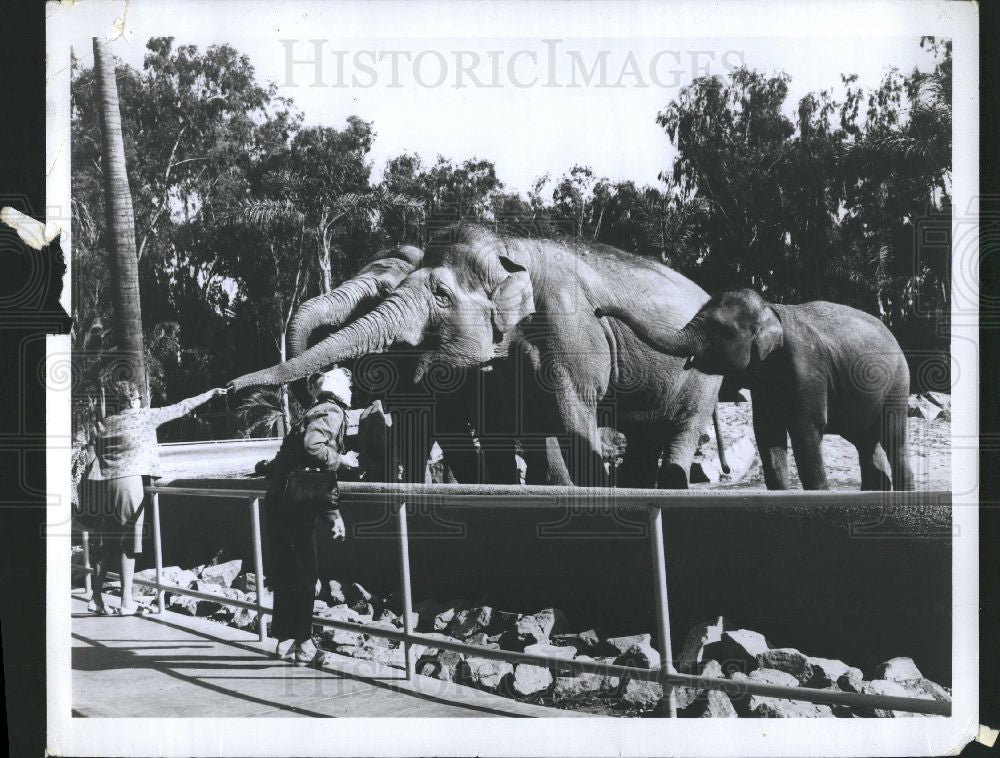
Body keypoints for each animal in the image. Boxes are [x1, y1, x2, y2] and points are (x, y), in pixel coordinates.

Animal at [230, 223, 724, 490]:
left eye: (441, 296)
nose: (229, 386)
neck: (509, 252)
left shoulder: (569, 326)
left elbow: (569, 420)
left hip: (703, 376)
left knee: (681, 429)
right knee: (646, 434)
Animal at [592, 290, 916, 492]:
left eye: (720, 330)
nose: (597, 310)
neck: (770, 308)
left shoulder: (806, 366)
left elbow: (805, 428)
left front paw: (818, 492)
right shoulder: (763, 381)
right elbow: (767, 432)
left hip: (898, 383)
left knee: (893, 436)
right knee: (867, 442)